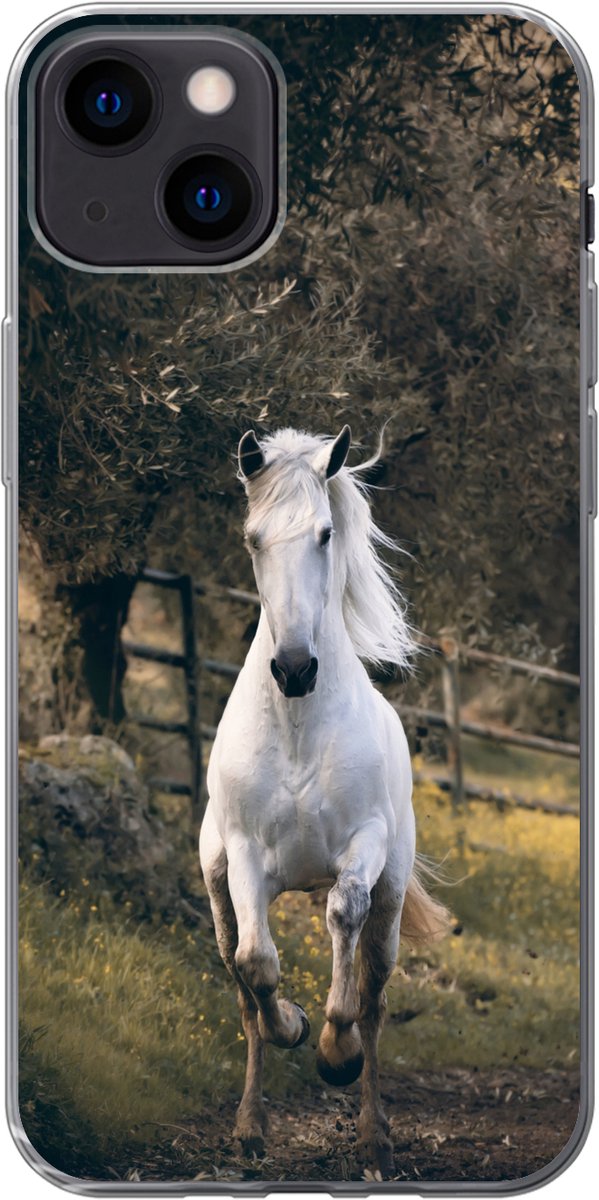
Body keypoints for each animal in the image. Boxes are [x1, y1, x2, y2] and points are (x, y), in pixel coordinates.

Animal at [199, 425, 449, 1174]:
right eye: (253, 538)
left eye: (324, 532)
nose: (293, 668)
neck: (298, 729)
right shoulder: (246, 858)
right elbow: (258, 966)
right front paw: (296, 1026)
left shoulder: (361, 849)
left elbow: (345, 924)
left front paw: (335, 1053)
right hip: (218, 891)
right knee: (243, 987)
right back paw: (250, 1128)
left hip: (390, 900)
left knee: (372, 990)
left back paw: (373, 1133)